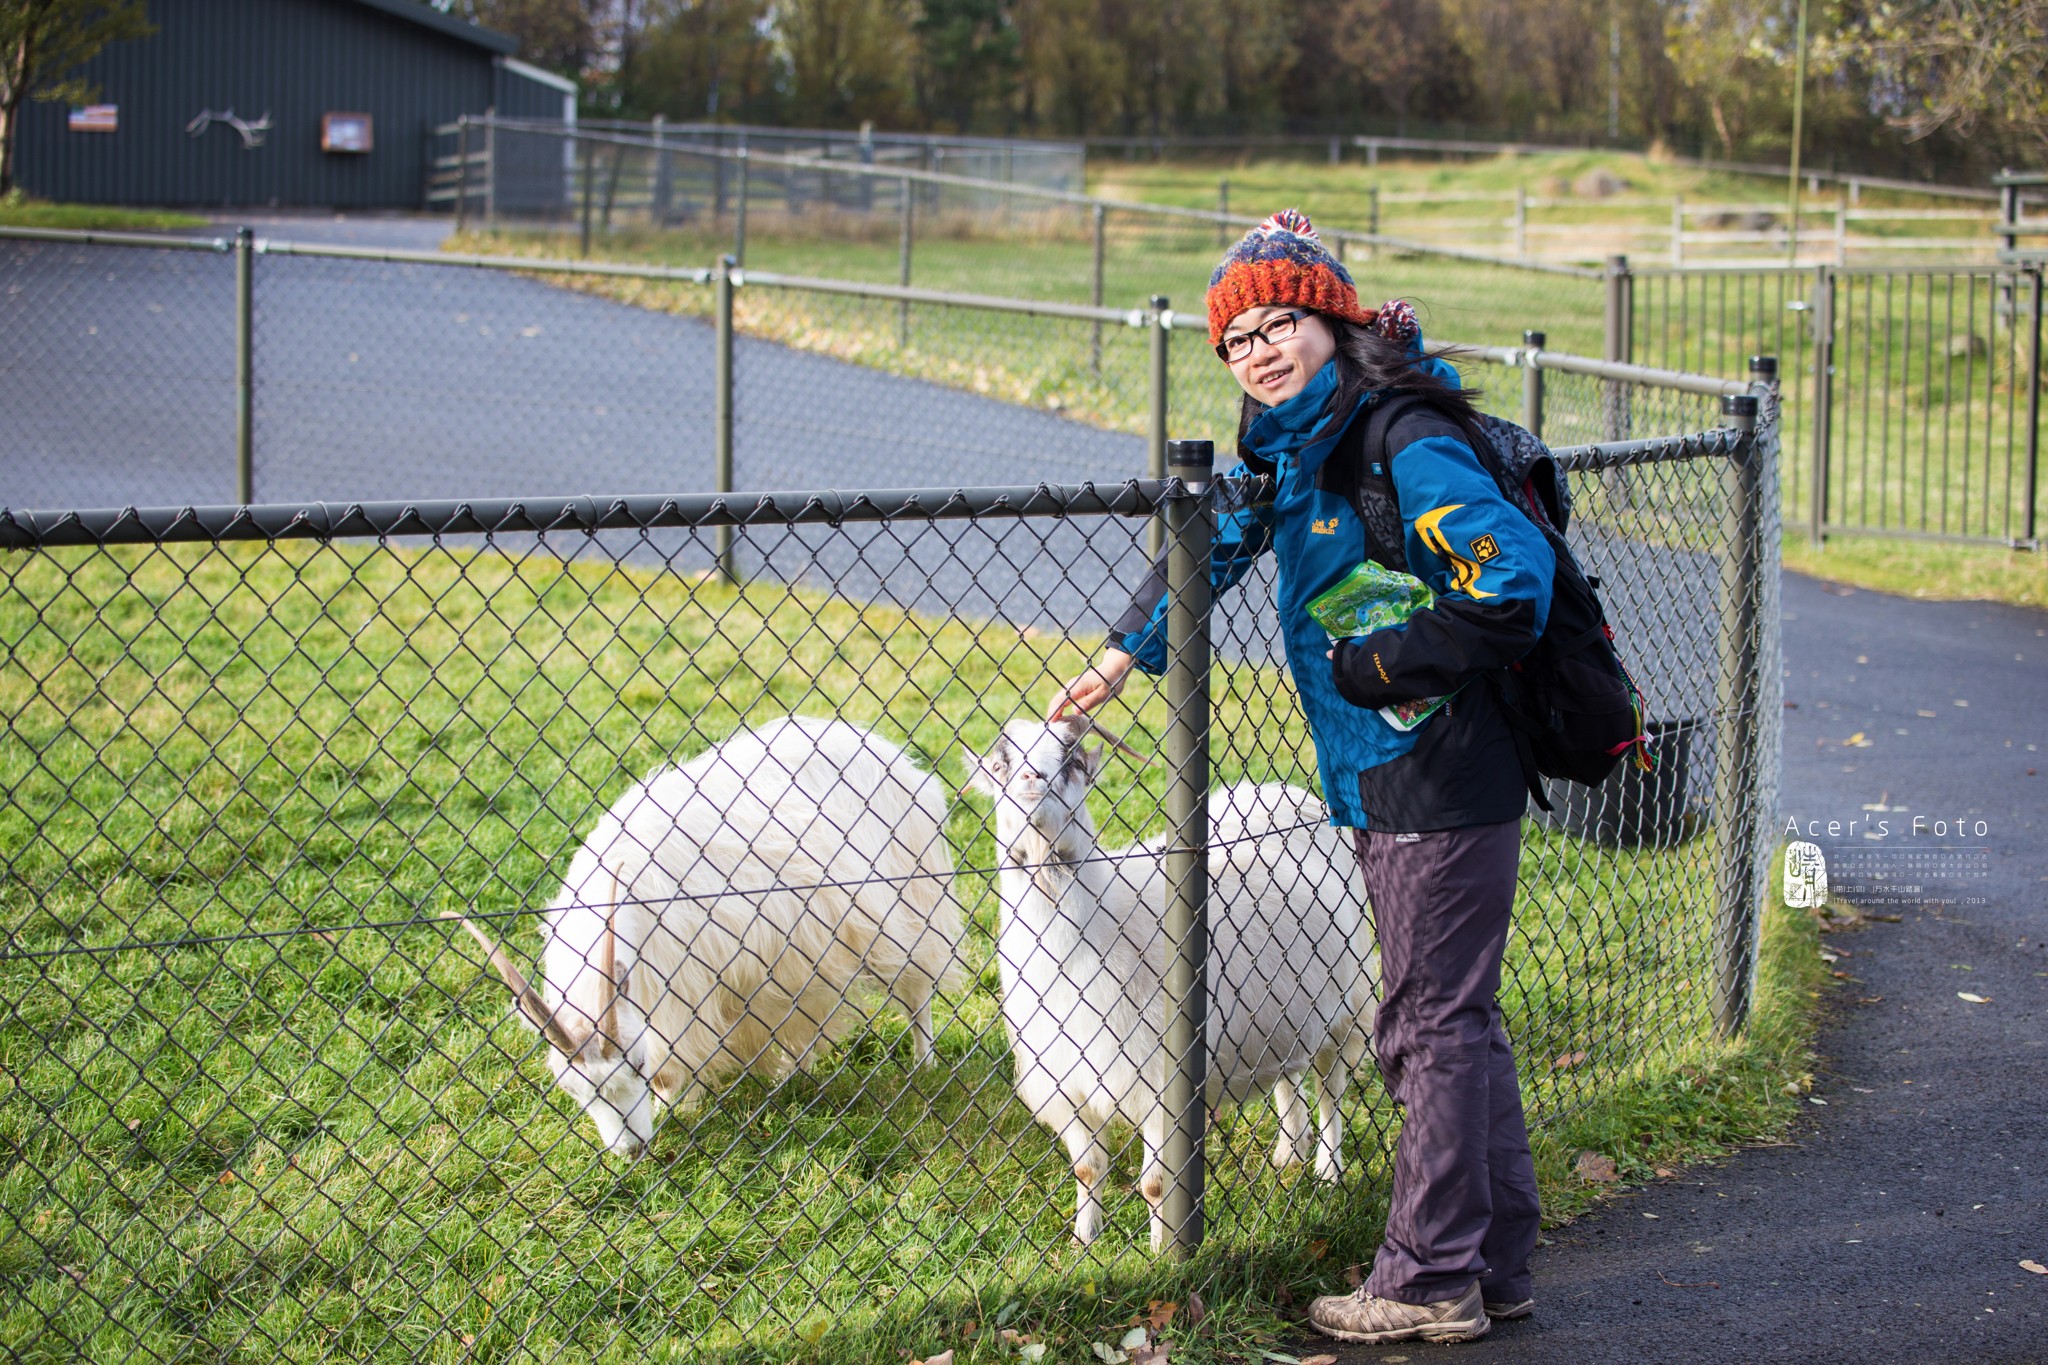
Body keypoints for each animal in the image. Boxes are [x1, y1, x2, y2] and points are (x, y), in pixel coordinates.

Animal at [452, 720, 962, 1162]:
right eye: (572, 1089)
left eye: (636, 1066)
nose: (630, 1150)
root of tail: (891, 753)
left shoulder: (687, 985)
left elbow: (675, 1060)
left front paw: (675, 1104)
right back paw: (793, 1072)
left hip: (913, 901)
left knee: (918, 989)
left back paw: (924, 1062)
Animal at [962, 720, 1376, 1252]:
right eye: (1001, 764)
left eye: (1072, 760)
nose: (1033, 779)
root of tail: (1280, 790)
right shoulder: (1068, 1085)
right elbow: (1087, 1170)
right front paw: (1083, 1242)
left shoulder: (1160, 1084)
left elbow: (1157, 1184)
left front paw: (1163, 1254)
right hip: (1285, 1007)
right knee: (1290, 1076)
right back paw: (1289, 1153)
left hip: (1348, 1004)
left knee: (1331, 1091)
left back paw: (1328, 1170)